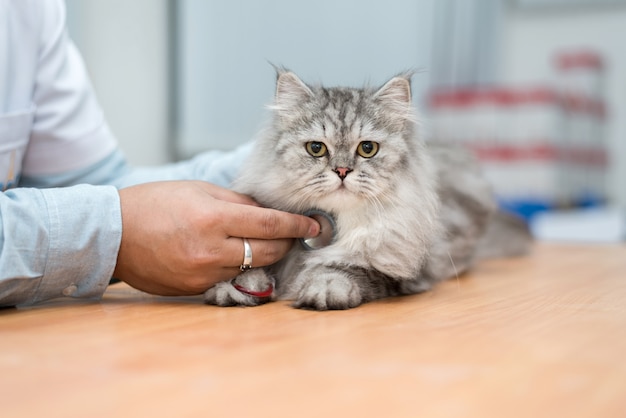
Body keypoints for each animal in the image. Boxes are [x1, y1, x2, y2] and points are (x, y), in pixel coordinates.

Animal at [204, 69, 528, 310]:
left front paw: (324, 288)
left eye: (367, 149)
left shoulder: (400, 270)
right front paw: (235, 288)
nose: (342, 171)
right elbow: (254, 269)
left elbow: (343, 268)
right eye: (316, 148)